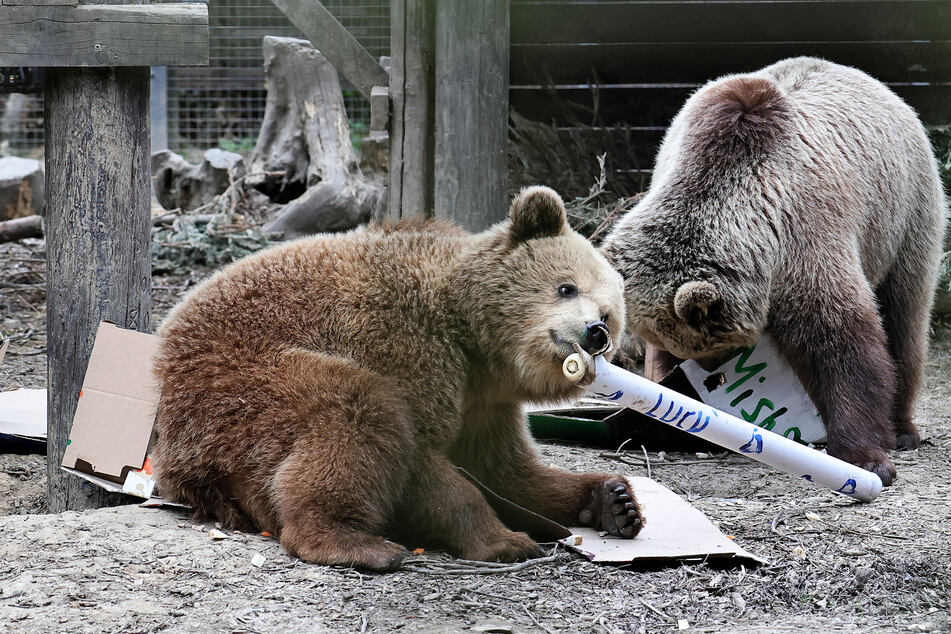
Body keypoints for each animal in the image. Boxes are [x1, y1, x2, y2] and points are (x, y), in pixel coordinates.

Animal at [152, 186, 643, 571]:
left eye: (608, 315)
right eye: (566, 287)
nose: (594, 333)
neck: (473, 342)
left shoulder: (485, 403)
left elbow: (506, 470)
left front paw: (614, 499)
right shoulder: (404, 343)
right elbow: (425, 460)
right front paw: (505, 541)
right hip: (239, 381)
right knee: (357, 412)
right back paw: (354, 542)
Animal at [601, 57, 948, 486]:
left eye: (711, 347)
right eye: (688, 349)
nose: (710, 374)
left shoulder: (804, 233)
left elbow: (842, 344)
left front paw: (865, 457)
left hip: (904, 216)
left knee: (905, 316)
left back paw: (902, 429)